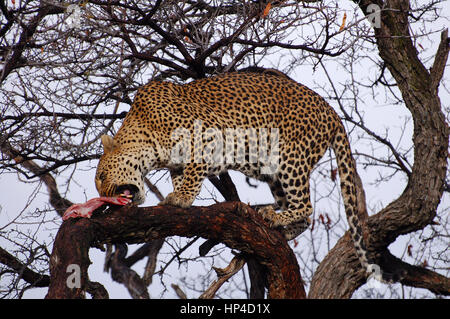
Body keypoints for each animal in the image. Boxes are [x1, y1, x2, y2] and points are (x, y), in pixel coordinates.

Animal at [95, 70, 376, 276]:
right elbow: (182, 176)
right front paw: (181, 196)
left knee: (306, 205)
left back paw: (274, 217)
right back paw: (279, 225)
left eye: (101, 177)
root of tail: (331, 111)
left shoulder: (207, 133)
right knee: (303, 215)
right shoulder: (177, 162)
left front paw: (181, 198)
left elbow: (194, 171)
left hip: (290, 157)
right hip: (272, 170)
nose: (105, 199)